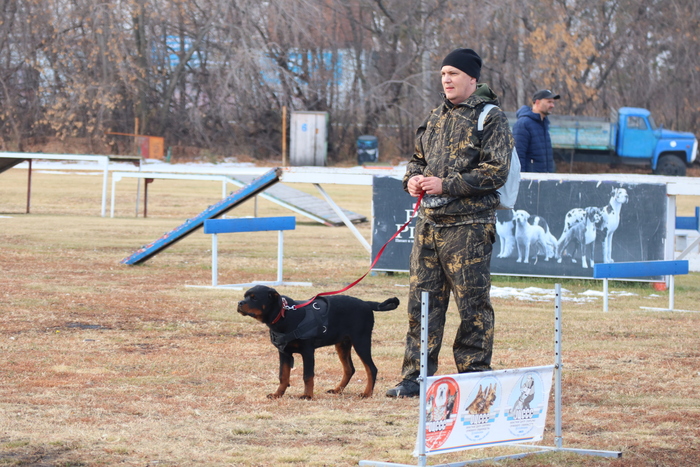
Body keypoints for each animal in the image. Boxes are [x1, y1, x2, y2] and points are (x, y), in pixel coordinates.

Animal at [237, 285, 399, 399]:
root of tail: (367, 304)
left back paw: (366, 393)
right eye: (245, 296)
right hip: (342, 344)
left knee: (371, 368)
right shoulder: (284, 353)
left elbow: (307, 376)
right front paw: (277, 394)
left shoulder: (308, 351)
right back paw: (337, 390)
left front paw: (307, 395)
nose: (239, 303)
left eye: (254, 298)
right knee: (349, 369)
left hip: (361, 341)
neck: (285, 315)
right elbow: (283, 375)